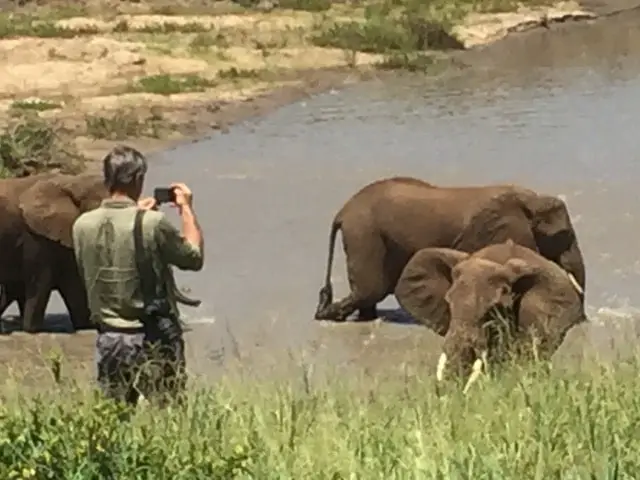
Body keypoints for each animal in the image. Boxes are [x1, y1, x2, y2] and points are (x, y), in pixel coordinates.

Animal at [312, 176, 588, 322]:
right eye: (562, 235)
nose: (583, 321)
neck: (530, 199)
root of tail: (343, 211)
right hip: (364, 235)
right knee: (371, 290)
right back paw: (326, 315)